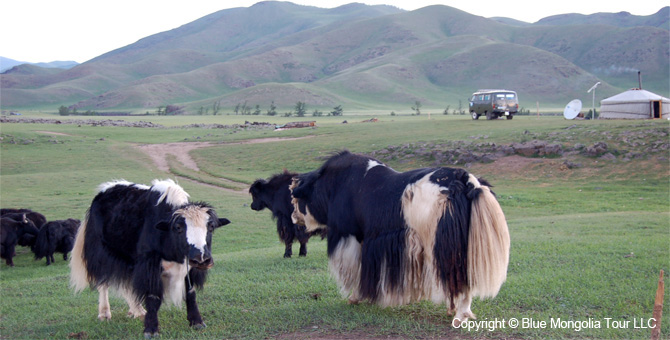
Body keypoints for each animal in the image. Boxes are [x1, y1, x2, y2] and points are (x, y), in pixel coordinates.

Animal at [69, 179, 230, 338]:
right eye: (178, 228)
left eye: (211, 227)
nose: (201, 258)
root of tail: (102, 191)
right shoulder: (150, 264)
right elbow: (153, 296)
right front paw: (151, 330)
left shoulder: (188, 266)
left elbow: (191, 292)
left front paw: (197, 322)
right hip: (102, 253)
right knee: (103, 283)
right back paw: (105, 314)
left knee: (128, 285)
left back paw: (138, 311)